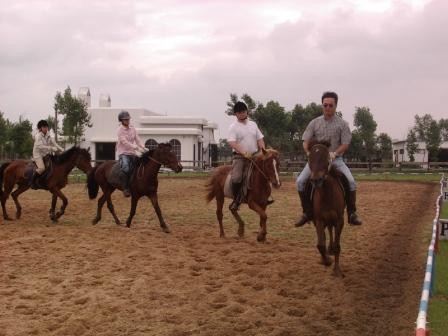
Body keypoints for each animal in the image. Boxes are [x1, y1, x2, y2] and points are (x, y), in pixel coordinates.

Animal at [308, 143, 346, 276]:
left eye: (326, 159)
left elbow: (338, 246)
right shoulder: (319, 221)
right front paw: (326, 261)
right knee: (326, 234)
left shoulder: (339, 221)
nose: (316, 180)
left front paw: (337, 270)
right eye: (309, 159)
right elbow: (320, 244)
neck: (327, 194)